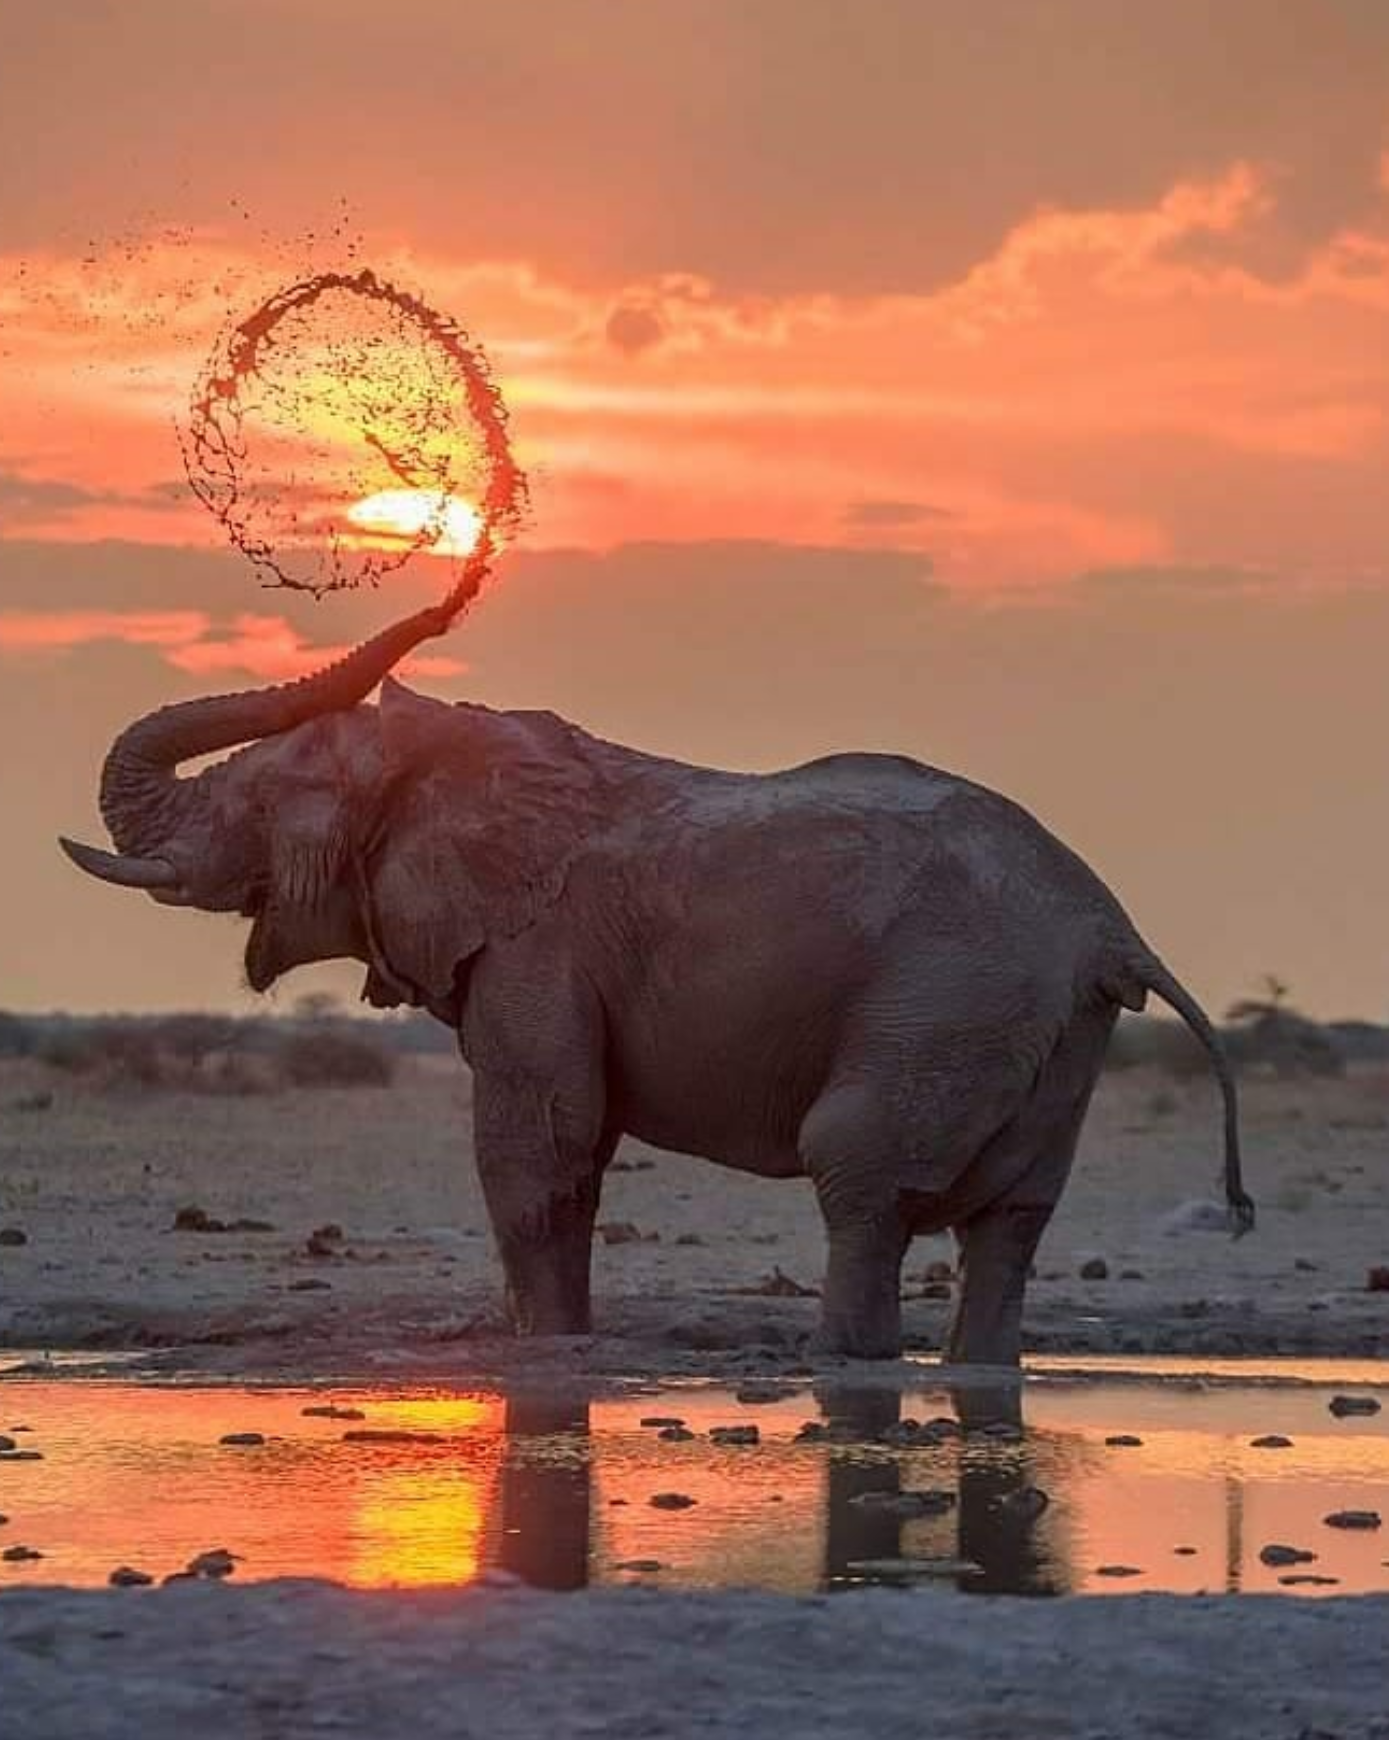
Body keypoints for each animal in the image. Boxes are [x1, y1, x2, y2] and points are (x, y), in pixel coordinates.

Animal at [60, 598, 1253, 1357]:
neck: (449, 751)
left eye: (262, 798)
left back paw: (844, 1368)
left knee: (863, 1181)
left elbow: (535, 1148)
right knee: (1010, 1224)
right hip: (1050, 1032)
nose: (452, 583)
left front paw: (543, 1352)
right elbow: (574, 1154)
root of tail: (1109, 927)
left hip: (948, 1001)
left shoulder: (537, 942)